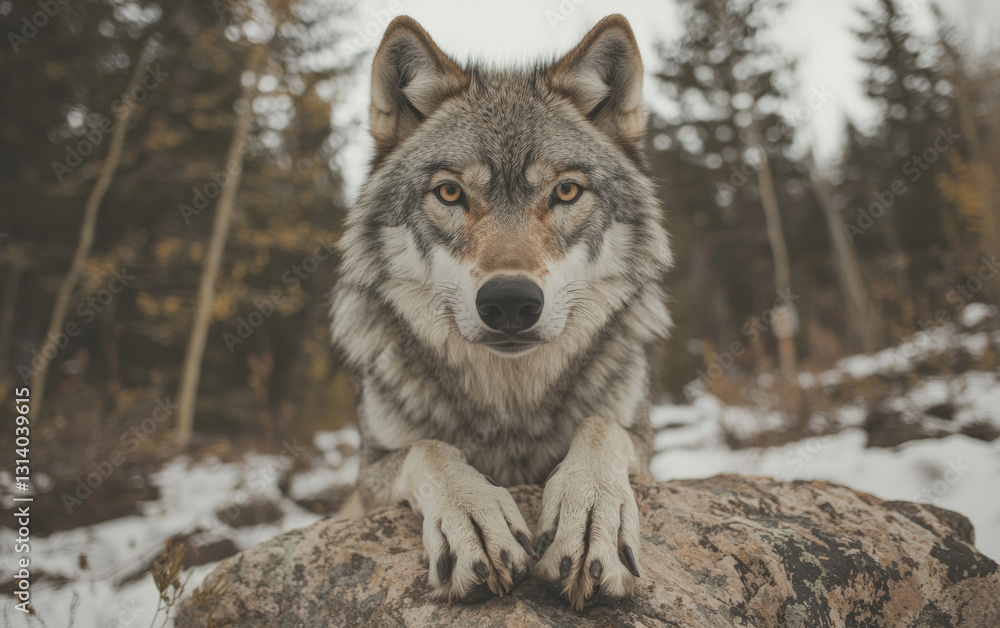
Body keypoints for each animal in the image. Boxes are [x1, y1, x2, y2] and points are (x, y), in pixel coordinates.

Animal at [329, 14, 672, 611]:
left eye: (566, 191)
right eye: (449, 192)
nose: (510, 300)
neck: (510, 403)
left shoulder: (642, 447)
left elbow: (600, 427)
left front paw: (590, 519)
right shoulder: (368, 475)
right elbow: (431, 448)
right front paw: (474, 517)